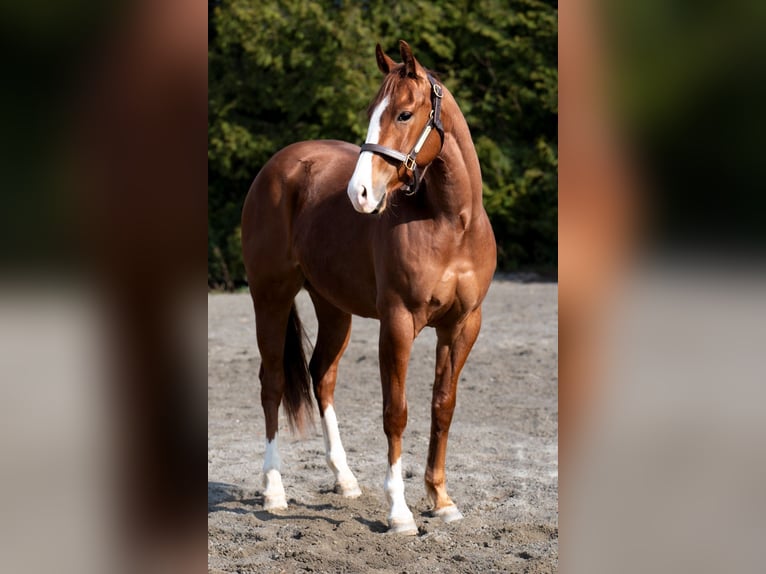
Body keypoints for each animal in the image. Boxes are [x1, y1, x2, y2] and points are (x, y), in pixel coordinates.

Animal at [241, 40, 497, 535]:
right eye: (371, 111)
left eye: (404, 113)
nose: (359, 193)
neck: (450, 223)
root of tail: (277, 166)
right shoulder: (397, 323)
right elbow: (395, 412)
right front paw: (399, 512)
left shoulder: (462, 325)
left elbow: (443, 406)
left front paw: (440, 500)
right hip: (271, 296)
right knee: (273, 382)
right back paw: (274, 490)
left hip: (333, 308)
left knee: (322, 376)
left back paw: (344, 479)